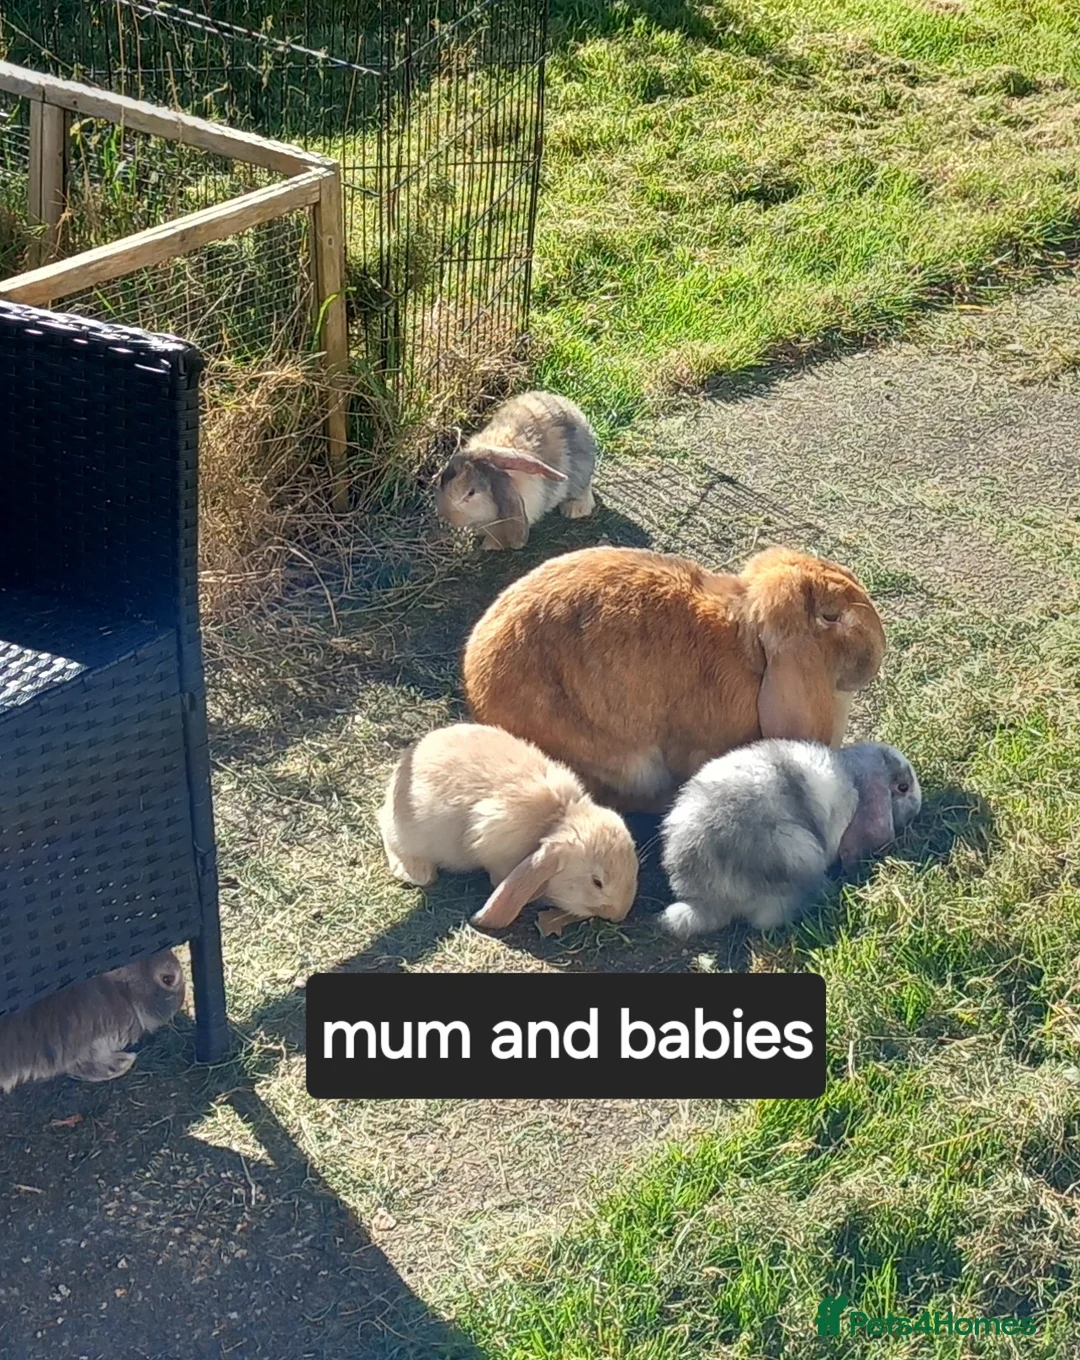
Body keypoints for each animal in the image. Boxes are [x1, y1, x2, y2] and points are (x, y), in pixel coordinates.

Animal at [433, 390, 598, 550]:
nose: (447, 515)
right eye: (444, 481)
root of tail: (573, 410)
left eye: (471, 493)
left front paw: (490, 546)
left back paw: (574, 510)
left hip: (580, 473)